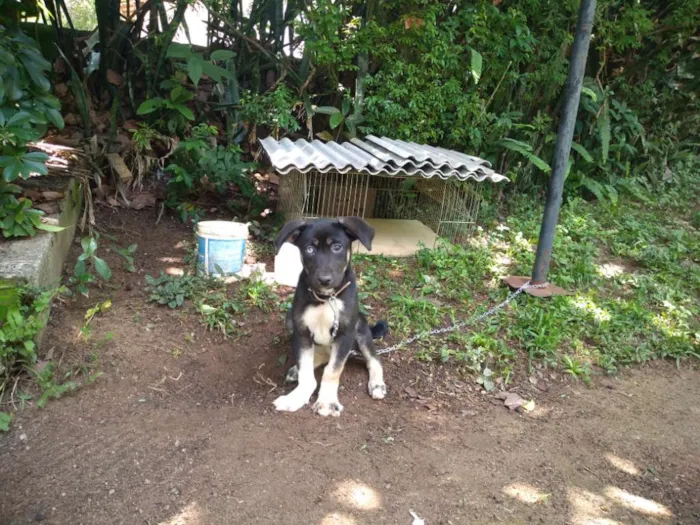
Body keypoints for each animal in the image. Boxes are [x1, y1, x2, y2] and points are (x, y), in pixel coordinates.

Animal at [272, 215, 386, 416]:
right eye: (309, 249)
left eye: (337, 247)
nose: (324, 280)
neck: (327, 298)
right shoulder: (301, 332)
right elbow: (306, 373)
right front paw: (297, 397)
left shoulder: (345, 334)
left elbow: (332, 370)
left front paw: (326, 401)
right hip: (289, 318)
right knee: (320, 356)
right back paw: (297, 369)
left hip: (360, 328)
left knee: (373, 359)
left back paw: (377, 384)